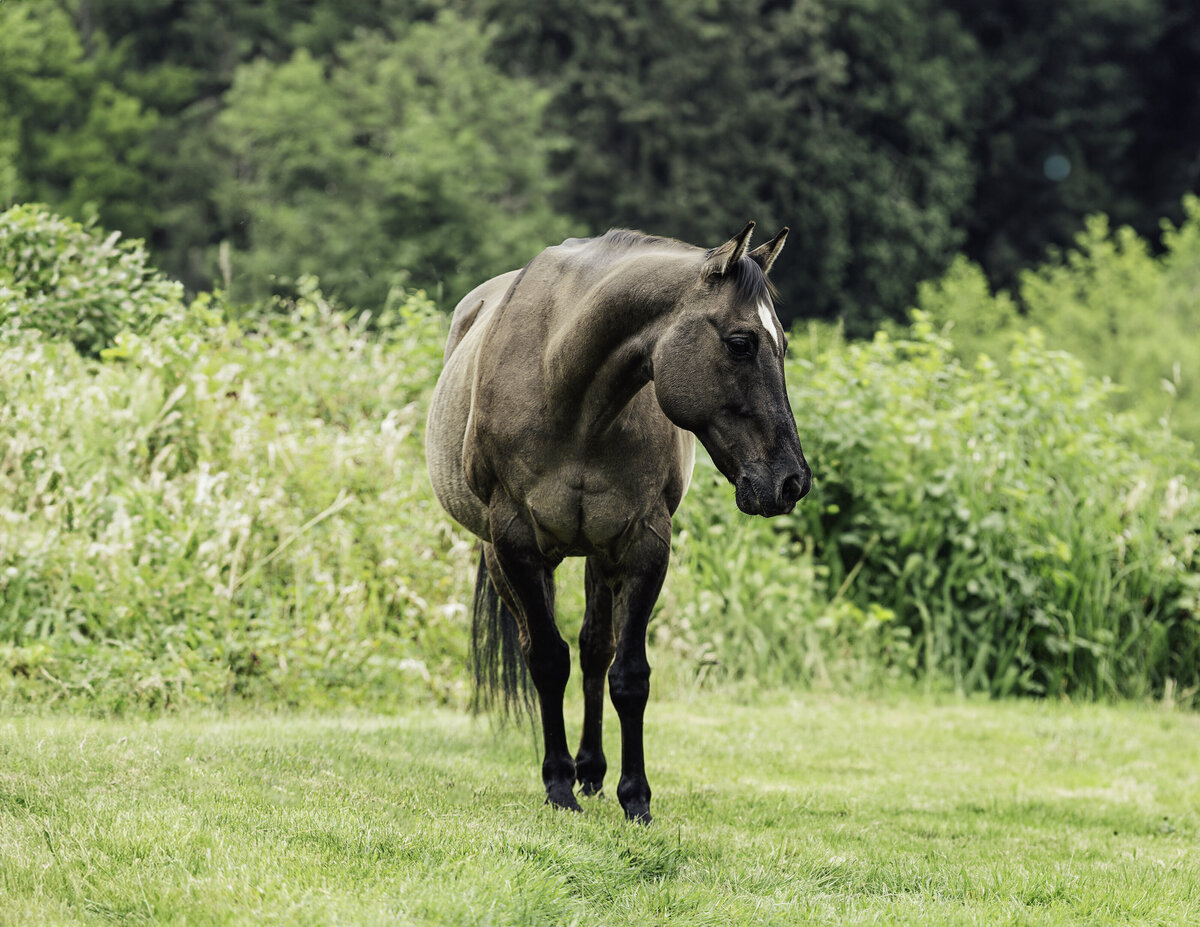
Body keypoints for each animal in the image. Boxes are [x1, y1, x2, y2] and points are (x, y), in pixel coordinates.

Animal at [427, 224, 811, 826]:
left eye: (784, 345)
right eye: (741, 343)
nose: (792, 481)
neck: (568, 388)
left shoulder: (641, 545)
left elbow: (628, 675)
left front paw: (635, 797)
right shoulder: (516, 542)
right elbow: (547, 660)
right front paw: (557, 786)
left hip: (598, 555)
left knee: (594, 649)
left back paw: (592, 769)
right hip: (506, 556)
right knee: (544, 647)